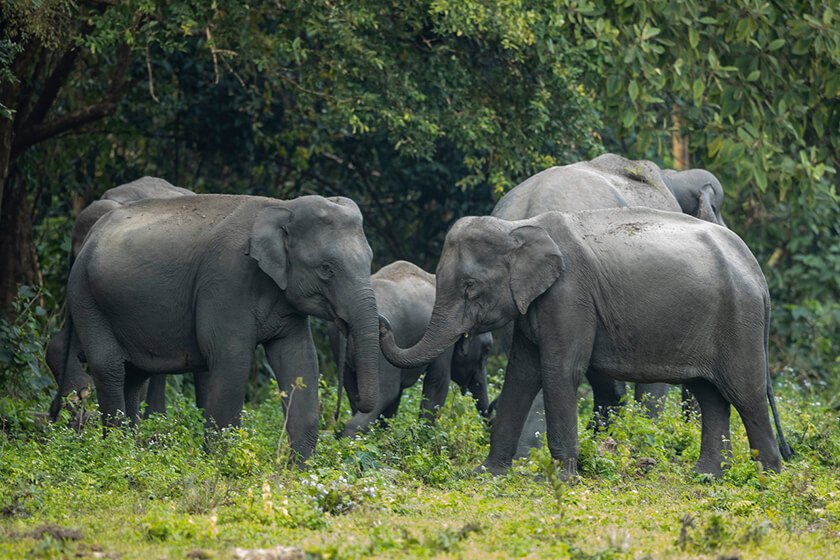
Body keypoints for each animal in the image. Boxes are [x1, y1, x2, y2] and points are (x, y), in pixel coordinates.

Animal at [60, 192, 382, 460]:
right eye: (326, 269)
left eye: (370, 260)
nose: (349, 409)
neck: (282, 206)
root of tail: (91, 235)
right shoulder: (226, 279)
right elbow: (230, 358)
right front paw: (222, 464)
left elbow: (300, 359)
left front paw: (299, 469)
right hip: (84, 296)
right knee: (110, 367)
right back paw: (116, 451)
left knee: (135, 375)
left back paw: (131, 452)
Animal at [380, 208, 788, 480]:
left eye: (469, 286)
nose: (382, 325)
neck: (518, 229)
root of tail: (756, 269)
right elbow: (521, 376)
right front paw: (485, 473)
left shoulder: (569, 295)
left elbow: (560, 371)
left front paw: (561, 479)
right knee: (710, 394)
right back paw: (705, 477)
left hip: (740, 319)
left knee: (746, 393)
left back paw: (767, 479)